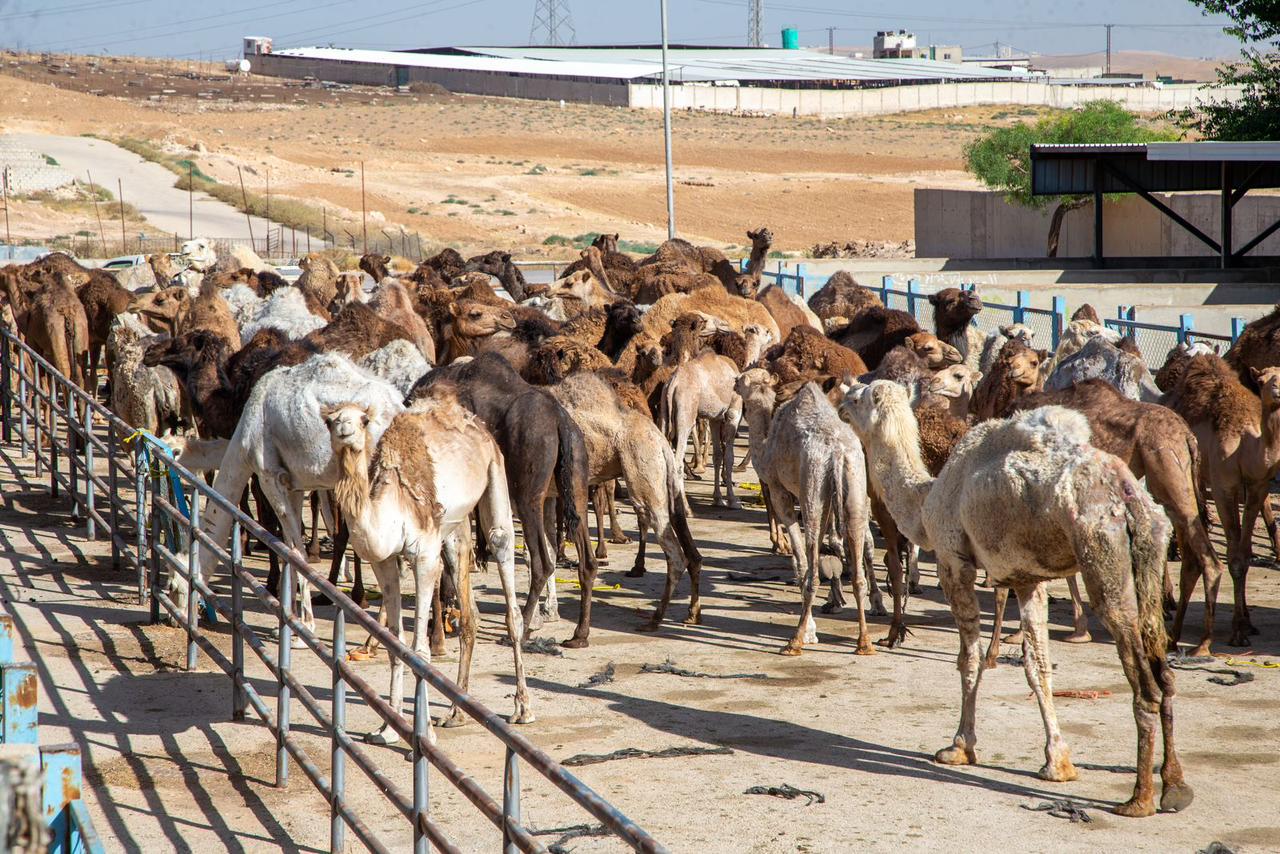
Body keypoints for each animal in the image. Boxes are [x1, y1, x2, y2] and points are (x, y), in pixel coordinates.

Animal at [325, 386, 535, 742]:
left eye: (363, 419)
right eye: (329, 420)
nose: (344, 430)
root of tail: (473, 421)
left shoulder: (423, 556)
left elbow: (419, 651)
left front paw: (422, 735)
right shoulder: (385, 561)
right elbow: (394, 642)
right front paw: (388, 728)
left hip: (495, 469)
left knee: (502, 549)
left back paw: (522, 709)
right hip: (452, 527)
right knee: (469, 610)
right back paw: (455, 713)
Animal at [737, 371, 875, 660]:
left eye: (742, 380)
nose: (734, 380)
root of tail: (837, 453)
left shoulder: (781, 491)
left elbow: (800, 560)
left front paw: (811, 631)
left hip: (813, 480)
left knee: (813, 565)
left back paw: (795, 641)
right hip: (855, 483)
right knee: (857, 567)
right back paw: (865, 643)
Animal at [839, 381, 1187, 819]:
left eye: (859, 396)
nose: (840, 401)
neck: (927, 497)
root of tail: (1128, 500)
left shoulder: (954, 562)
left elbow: (968, 660)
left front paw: (959, 746)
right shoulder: (1027, 579)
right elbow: (1037, 666)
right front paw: (1058, 763)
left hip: (1103, 557)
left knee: (1144, 682)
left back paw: (1138, 799)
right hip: (1151, 555)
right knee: (1165, 671)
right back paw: (1175, 787)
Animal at [1167, 355, 1280, 647]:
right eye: (1262, 380)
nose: (1277, 391)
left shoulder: (1258, 487)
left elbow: (1245, 553)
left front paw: (1247, 623)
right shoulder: (1223, 486)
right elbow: (1234, 558)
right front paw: (1238, 631)